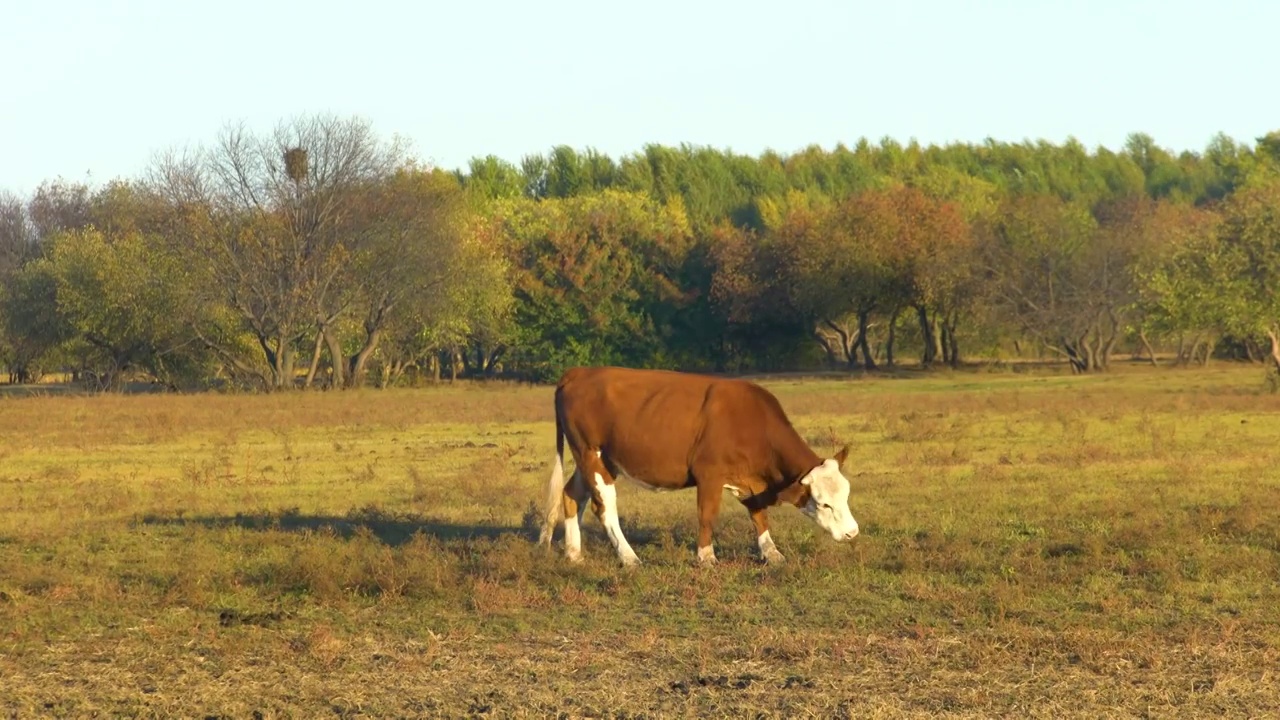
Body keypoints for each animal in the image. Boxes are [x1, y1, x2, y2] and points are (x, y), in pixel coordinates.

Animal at [535, 363, 855, 566]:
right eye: (824, 503)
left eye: (846, 495)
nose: (853, 533)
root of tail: (578, 372)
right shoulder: (709, 475)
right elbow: (707, 515)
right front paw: (706, 557)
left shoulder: (749, 481)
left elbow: (759, 515)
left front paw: (771, 553)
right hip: (591, 454)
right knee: (604, 507)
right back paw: (628, 557)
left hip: (596, 459)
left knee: (571, 495)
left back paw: (574, 554)